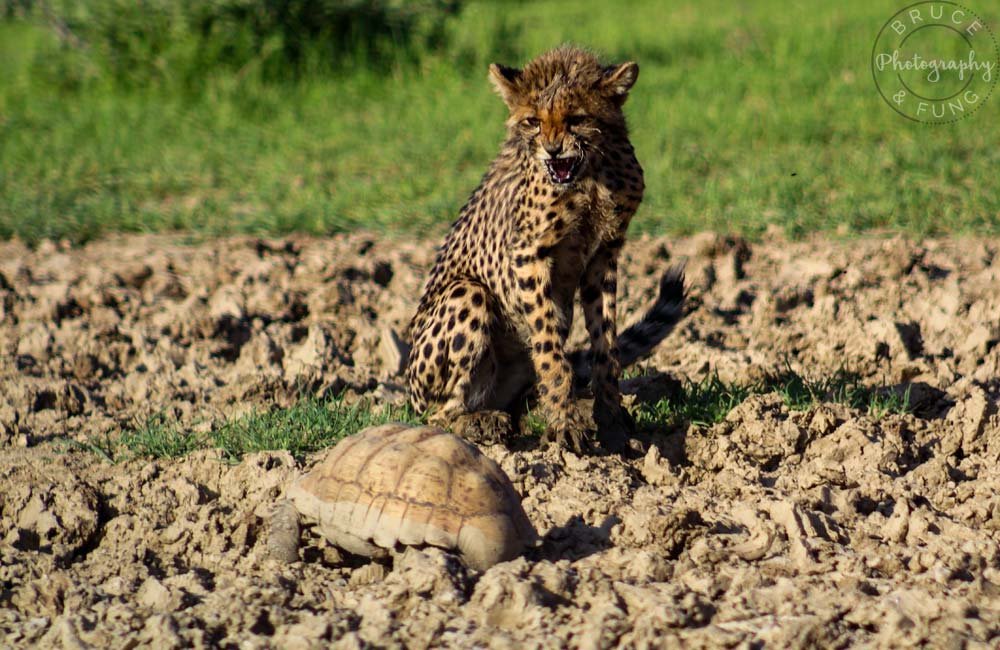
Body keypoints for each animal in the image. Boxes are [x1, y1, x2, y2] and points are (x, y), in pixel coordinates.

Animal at [404, 46, 680, 450]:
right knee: (438, 414)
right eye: (533, 121)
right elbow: (550, 352)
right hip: (465, 296)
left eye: (577, 119)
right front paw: (565, 422)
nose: (552, 150)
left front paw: (610, 416)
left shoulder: (604, 254)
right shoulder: (527, 254)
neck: (589, 176)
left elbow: (606, 344)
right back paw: (480, 422)